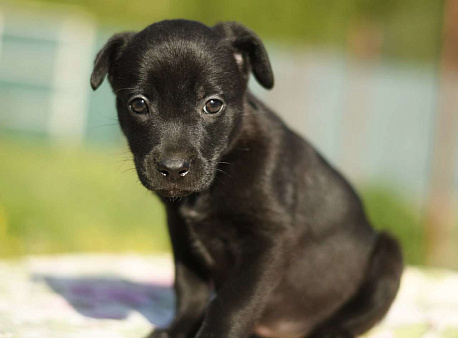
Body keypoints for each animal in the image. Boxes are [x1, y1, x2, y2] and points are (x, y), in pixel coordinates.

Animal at [91, 19, 402, 338]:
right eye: (138, 105)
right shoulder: (180, 232)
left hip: (389, 256)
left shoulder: (267, 238)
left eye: (213, 105)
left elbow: (233, 302)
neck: (219, 173)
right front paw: (176, 330)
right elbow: (190, 290)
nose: (174, 169)